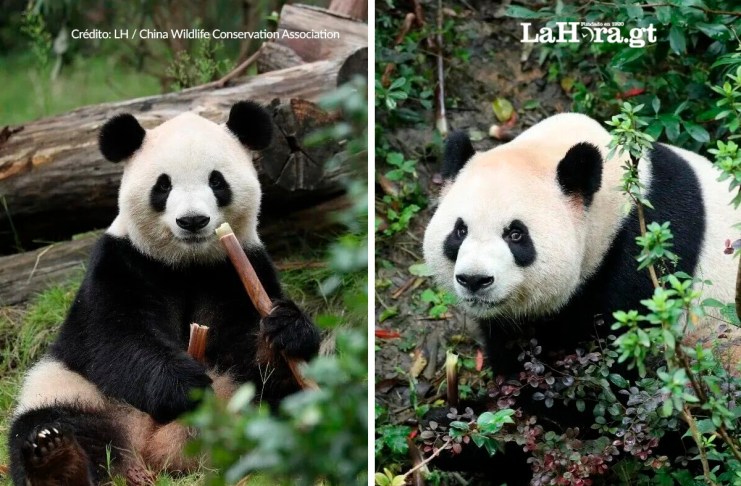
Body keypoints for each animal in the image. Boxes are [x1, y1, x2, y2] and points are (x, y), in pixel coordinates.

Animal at [8, 101, 321, 485]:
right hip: (74, 387)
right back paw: (56, 460)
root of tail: (152, 450)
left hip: (239, 401)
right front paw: (183, 385)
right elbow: (113, 336)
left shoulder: (237, 269)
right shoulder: (121, 262)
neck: (186, 264)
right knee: (51, 420)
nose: (193, 221)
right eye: (163, 185)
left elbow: (246, 348)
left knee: (283, 403)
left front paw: (285, 329)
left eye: (217, 181)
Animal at [423, 113, 741, 479]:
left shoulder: (643, 263)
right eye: (460, 231)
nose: (474, 280)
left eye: (516, 234)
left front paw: (476, 440)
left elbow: (597, 396)